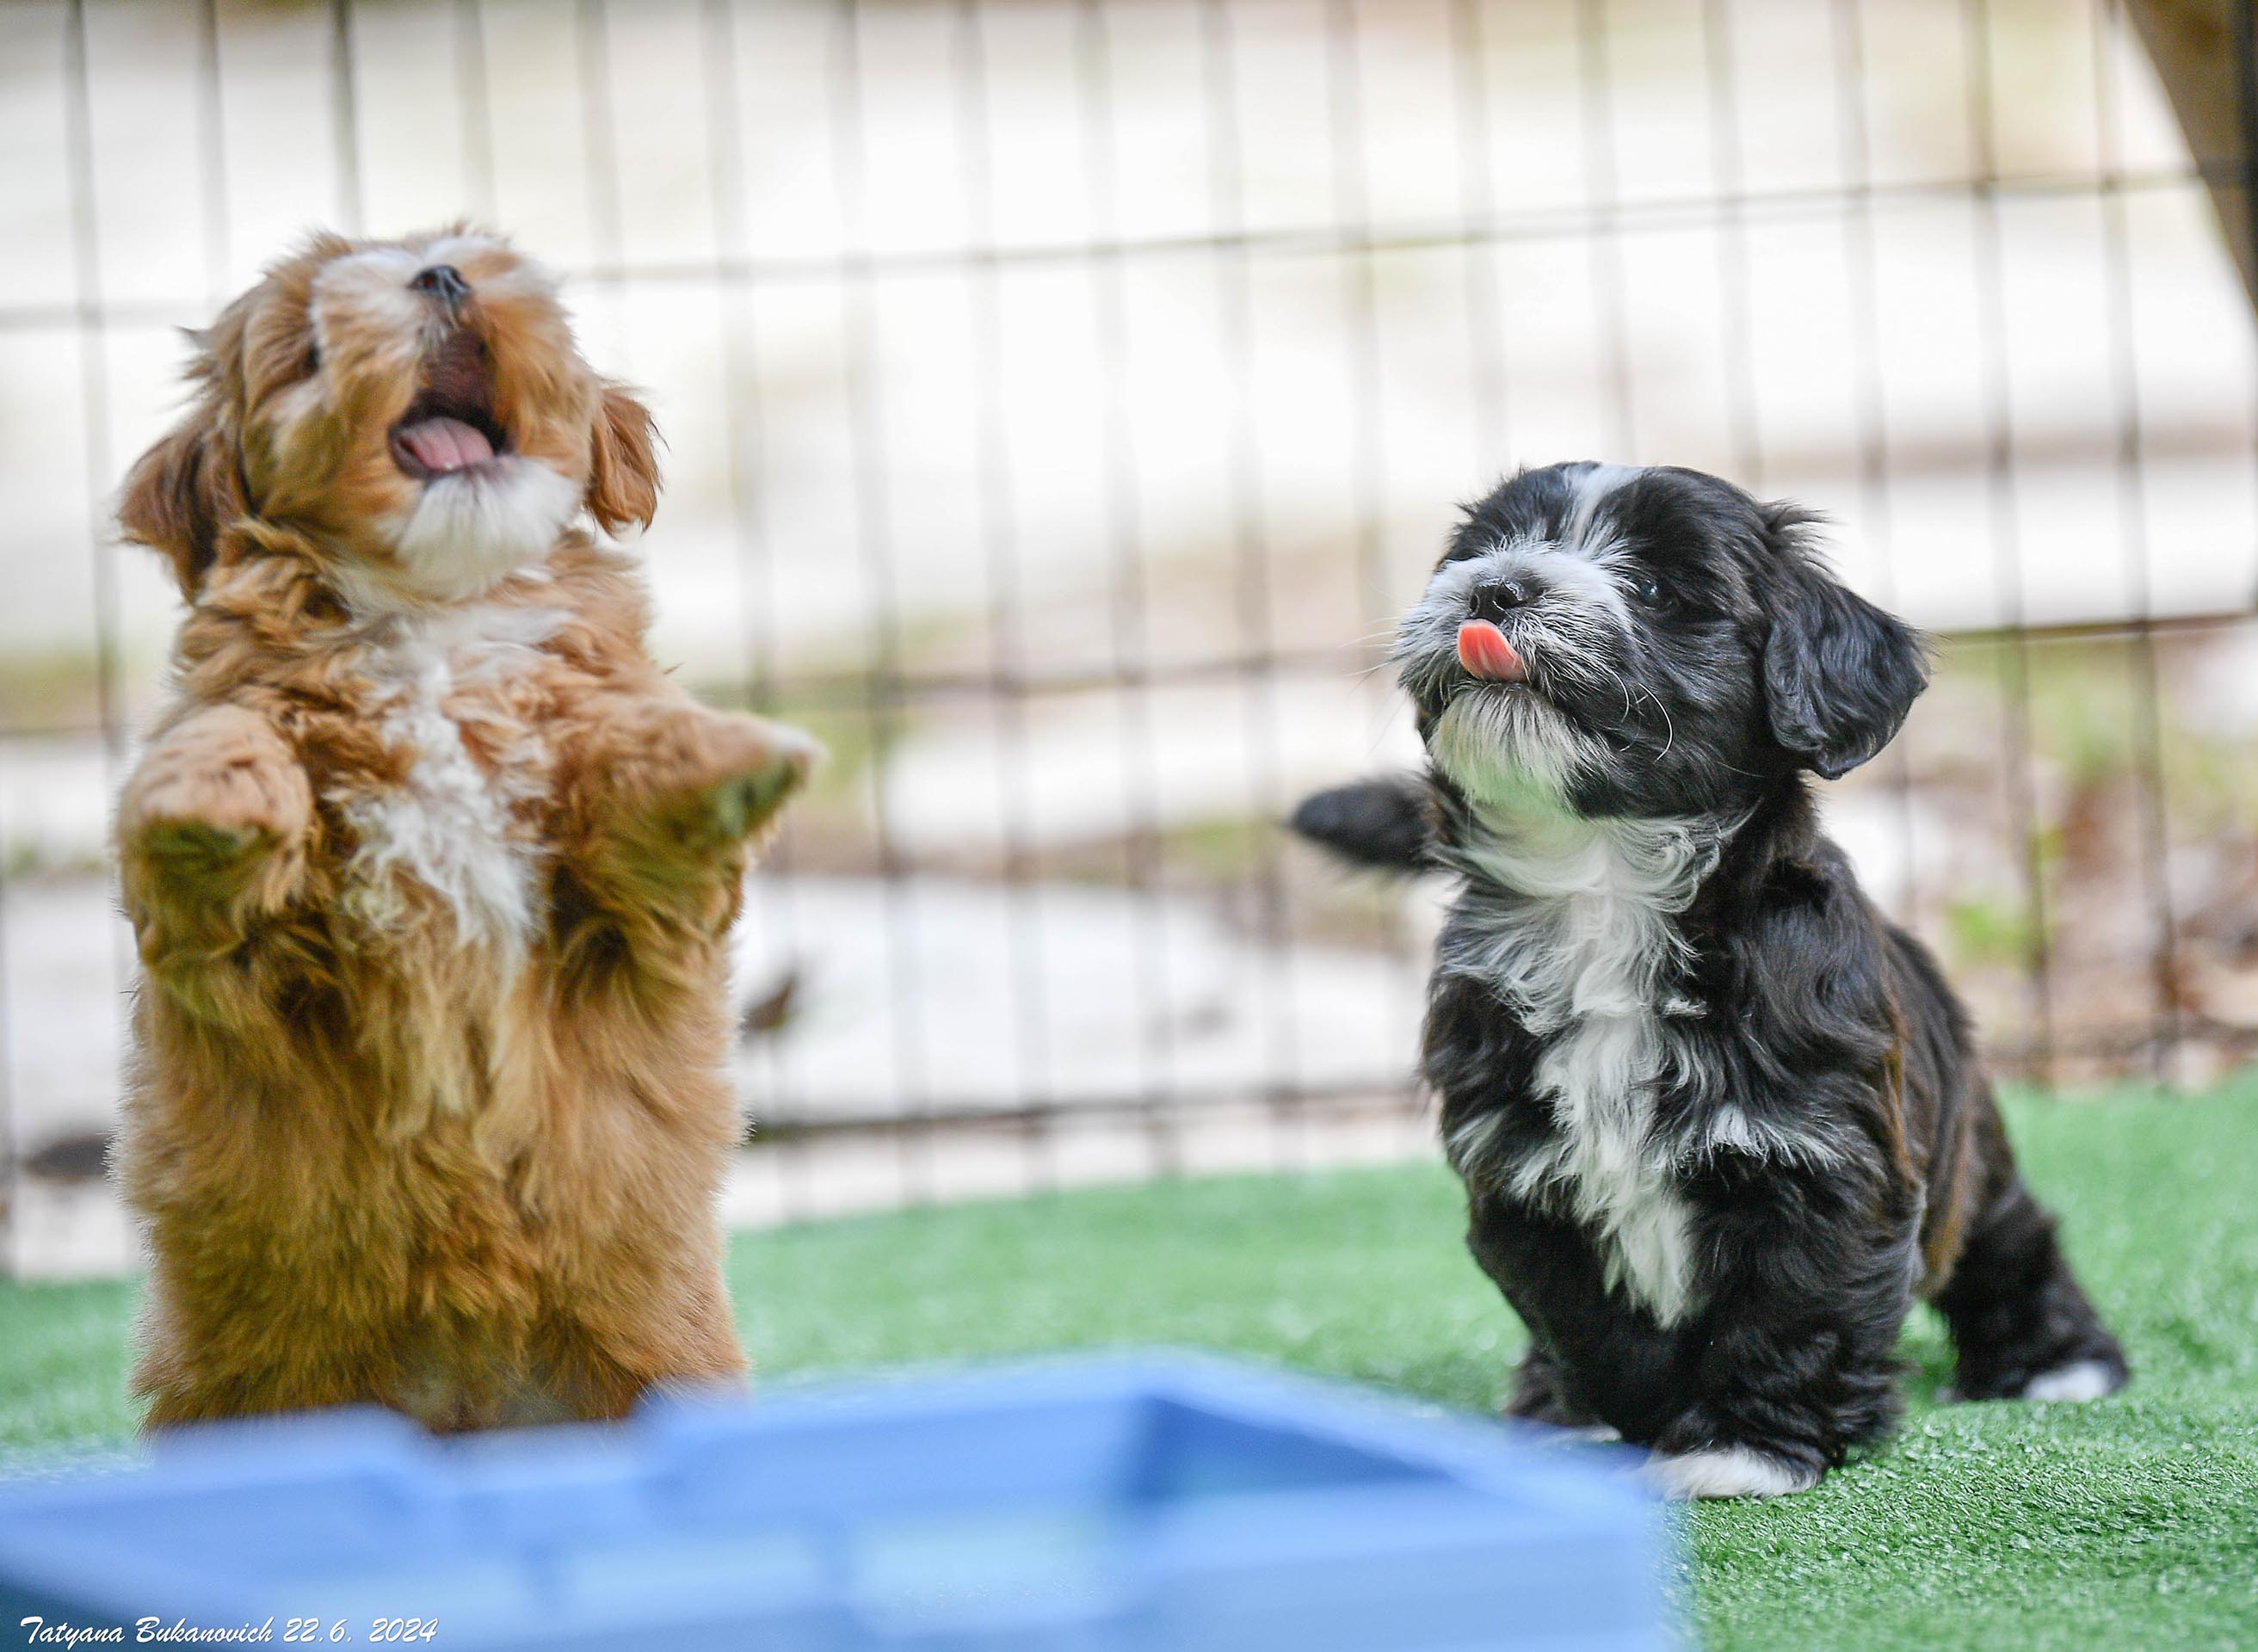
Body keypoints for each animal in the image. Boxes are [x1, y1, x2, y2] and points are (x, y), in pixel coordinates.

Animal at [112, 229, 822, 1435]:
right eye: (308, 350)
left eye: (465, 256)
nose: (440, 278)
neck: (436, 616)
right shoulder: (260, 963)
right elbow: (232, 750)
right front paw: (208, 804)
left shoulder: (620, 919)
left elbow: (628, 773)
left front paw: (726, 751)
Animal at [1300, 460, 2122, 1498]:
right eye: (1479, 552)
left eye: (1653, 589)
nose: (1496, 590)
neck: (1600, 887)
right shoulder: (1521, 1182)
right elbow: (1593, 1327)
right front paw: (1627, 1423)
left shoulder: (1823, 1164)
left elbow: (1791, 1314)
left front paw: (1741, 1448)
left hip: (1967, 1145)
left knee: (2007, 1237)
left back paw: (2057, 1364)